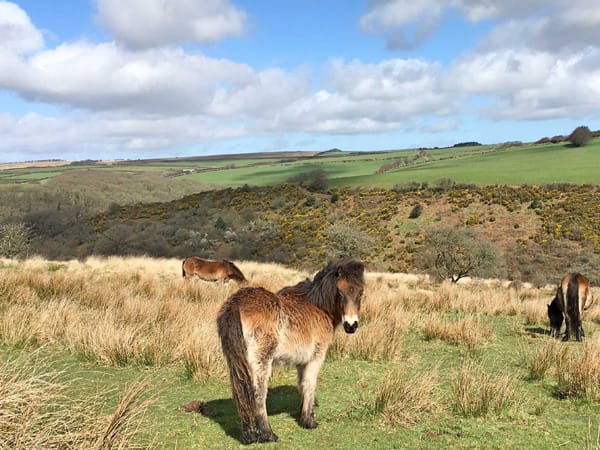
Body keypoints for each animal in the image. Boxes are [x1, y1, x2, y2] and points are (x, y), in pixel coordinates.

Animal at [217, 258, 366, 444]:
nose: (351, 326)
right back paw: (268, 434)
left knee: (241, 390)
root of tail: (235, 304)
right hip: (261, 362)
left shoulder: (301, 363)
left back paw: (249, 435)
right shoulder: (315, 358)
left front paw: (303, 414)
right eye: (340, 293)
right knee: (258, 394)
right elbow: (310, 384)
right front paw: (309, 421)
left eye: (360, 293)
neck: (318, 307)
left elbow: (302, 384)